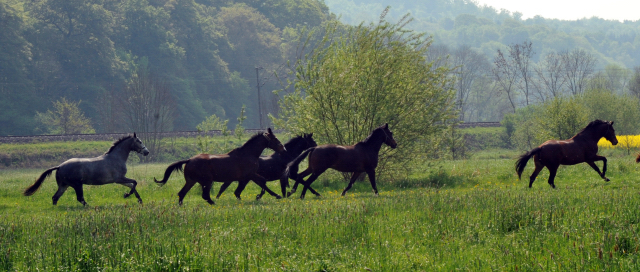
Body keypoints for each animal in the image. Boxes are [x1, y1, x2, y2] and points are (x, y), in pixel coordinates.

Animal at [23, 133, 151, 205]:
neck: (116, 157)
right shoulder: (119, 179)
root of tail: (59, 166)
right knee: (80, 198)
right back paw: (90, 207)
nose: (147, 152)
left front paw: (139, 200)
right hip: (77, 185)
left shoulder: (120, 180)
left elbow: (132, 185)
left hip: (64, 185)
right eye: (139, 141)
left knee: (55, 197)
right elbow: (134, 182)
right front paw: (127, 195)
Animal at [154, 127, 284, 204]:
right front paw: (266, 195)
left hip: (192, 181)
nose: (283, 148)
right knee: (205, 195)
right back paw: (214, 203)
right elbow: (263, 182)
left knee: (182, 193)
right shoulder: (250, 174)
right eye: (275, 138)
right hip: (207, 180)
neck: (249, 154)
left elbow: (254, 185)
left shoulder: (247, 177)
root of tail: (189, 160)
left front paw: (272, 195)